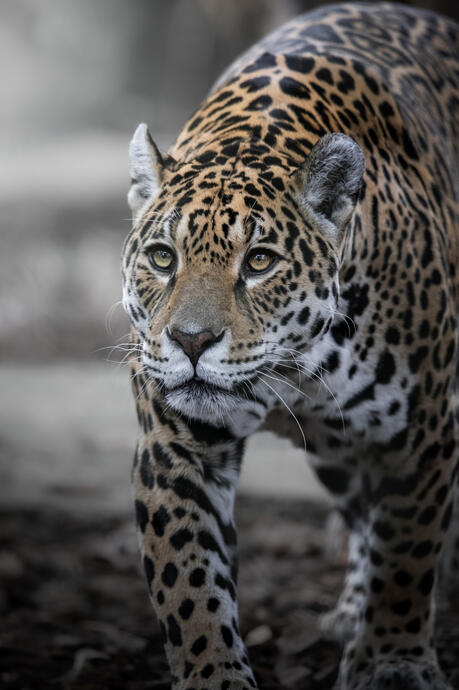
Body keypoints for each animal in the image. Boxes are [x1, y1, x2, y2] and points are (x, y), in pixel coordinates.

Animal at [121, 3, 458, 689]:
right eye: (163, 258)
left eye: (259, 262)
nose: (191, 341)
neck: (296, 370)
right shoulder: (174, 450)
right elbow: (189, 584)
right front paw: (215, 675)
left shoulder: (424, 433)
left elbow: (409, 555)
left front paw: (395, 661)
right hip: (338, 453)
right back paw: (349, 614)